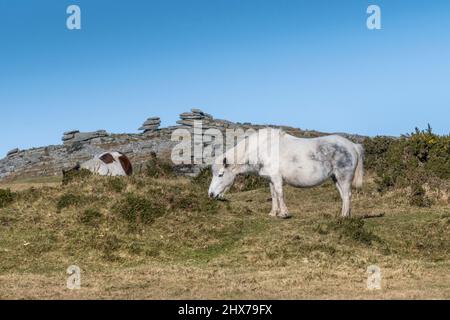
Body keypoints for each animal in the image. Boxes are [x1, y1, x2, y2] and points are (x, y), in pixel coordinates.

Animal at [209, 129, 364, 219]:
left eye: (220, 174)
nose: (211, 194)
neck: (261, 148)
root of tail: (353, 146)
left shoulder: (276, 178)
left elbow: (280, 193)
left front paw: (284, 213)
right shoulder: (270, 179)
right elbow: (273, 195)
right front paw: (273, 213)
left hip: (343, 178)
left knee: (347, 195)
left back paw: (344, 217)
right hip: (336, 178)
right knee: (344, 196)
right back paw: (346, 215)